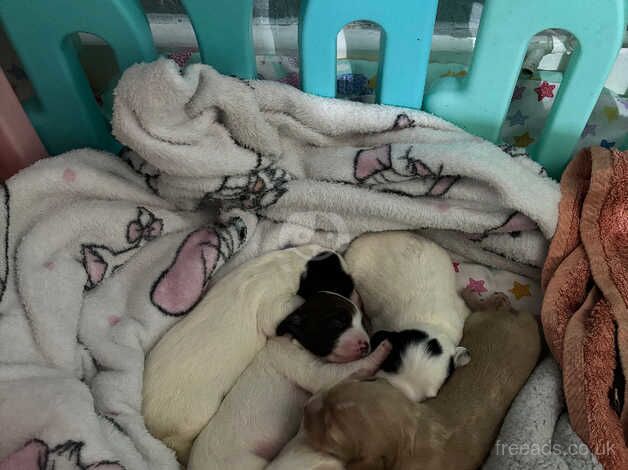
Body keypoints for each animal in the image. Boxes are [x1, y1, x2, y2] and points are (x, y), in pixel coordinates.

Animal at [185, 252, 388, 468]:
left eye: (362, 324)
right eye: (337, 323)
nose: (366, 344)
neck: (292, 338)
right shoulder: (301, 365)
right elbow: (337, 373)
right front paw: (382, 350)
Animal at [300, 290, 540, 470]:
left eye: (330, 431)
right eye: (338, 389)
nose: (306, 406)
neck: (411, 436)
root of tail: (519, 314)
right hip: (483, 321)